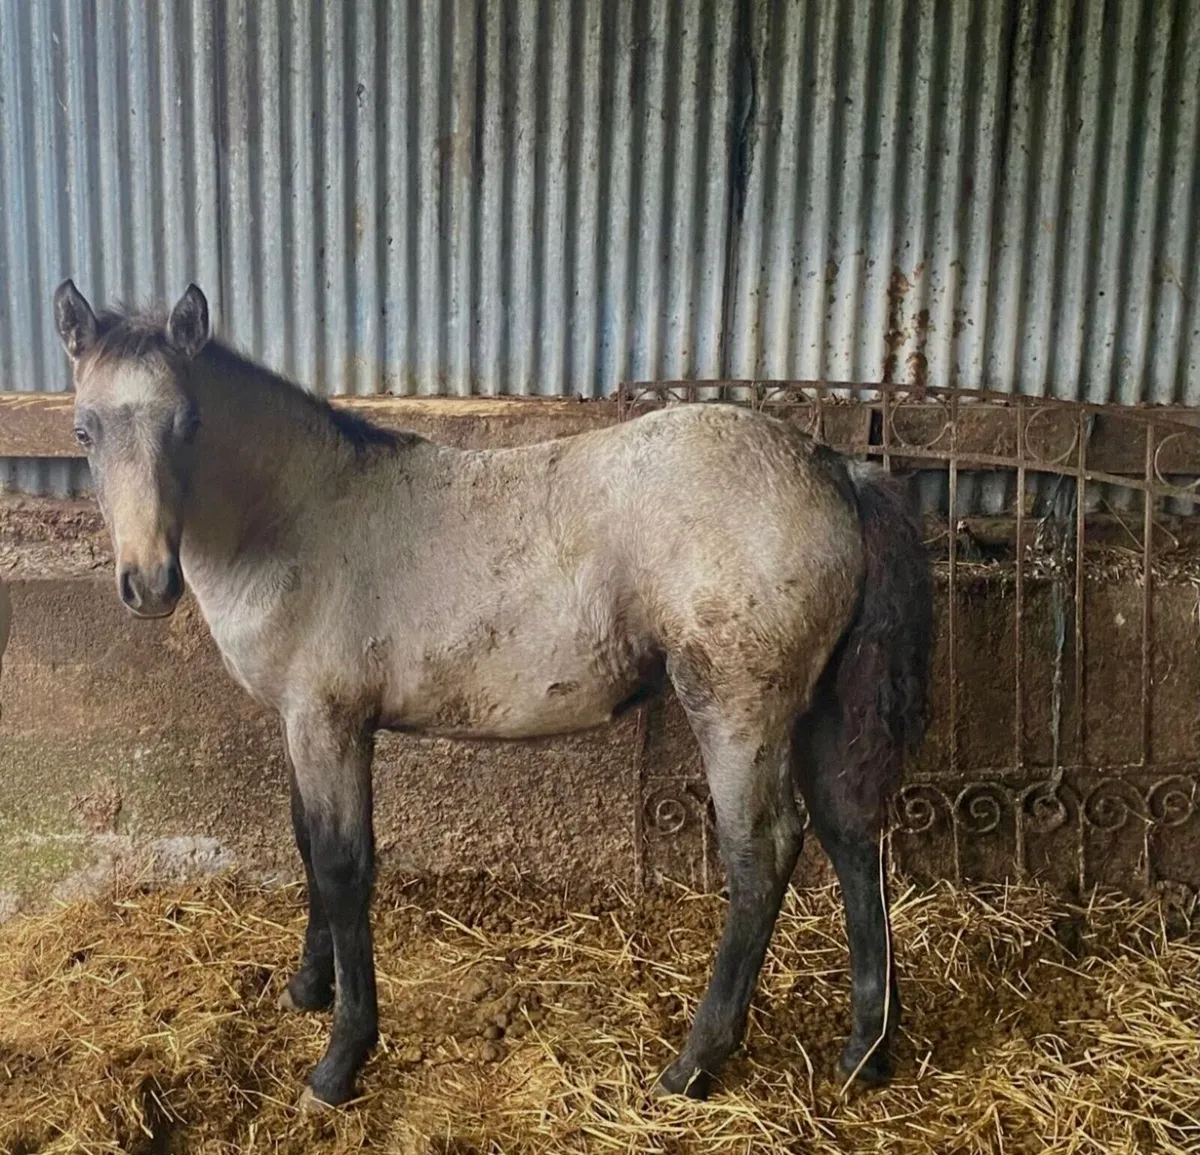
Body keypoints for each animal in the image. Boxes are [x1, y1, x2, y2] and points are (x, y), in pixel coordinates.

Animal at [52, 279, 933, 1109]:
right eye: (84, 430)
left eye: (189, 422)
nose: (147, 583)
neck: (299, 515)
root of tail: (835, 467)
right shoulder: (300, 722)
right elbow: (305, 841)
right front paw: (308, 987)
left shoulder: (331, 720)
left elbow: (342, 864)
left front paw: (339, 1060)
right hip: (815, 707)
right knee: (851, 833)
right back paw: (865, 1048)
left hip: (737, 706)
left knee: (764, 853)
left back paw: (693, 1063)